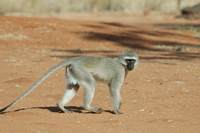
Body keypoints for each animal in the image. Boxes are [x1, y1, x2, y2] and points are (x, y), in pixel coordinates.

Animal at [0, 52, 139, 114]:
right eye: (129, 60)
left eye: (133, 60)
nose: (131, 65)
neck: (122, 64)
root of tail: (75, 59)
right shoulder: (120, 71)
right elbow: (114, 89)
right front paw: (116, 110)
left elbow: (113, 88)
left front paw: (119, 106)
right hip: (79, 69)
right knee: (90, 83)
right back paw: (87, 107)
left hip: (73, 71)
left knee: (74, 86)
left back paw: (61, 106)